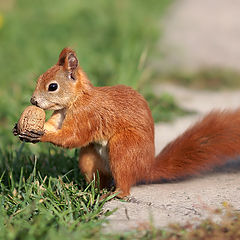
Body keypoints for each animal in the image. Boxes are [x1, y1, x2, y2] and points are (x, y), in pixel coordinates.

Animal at [13, 47, 240, 197]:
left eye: (52, 86)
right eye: (39, 79)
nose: (33, 101)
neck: (77, 99)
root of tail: (145, 169)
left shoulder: (88, 114)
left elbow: (72, 137)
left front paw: (41, 133)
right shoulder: (60, 113)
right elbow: (55, 127)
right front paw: (20, 128)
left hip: (124, 147)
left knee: (124, 186)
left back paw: (113, 194)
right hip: (89, 157)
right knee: (100, 176)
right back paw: (89, 192)